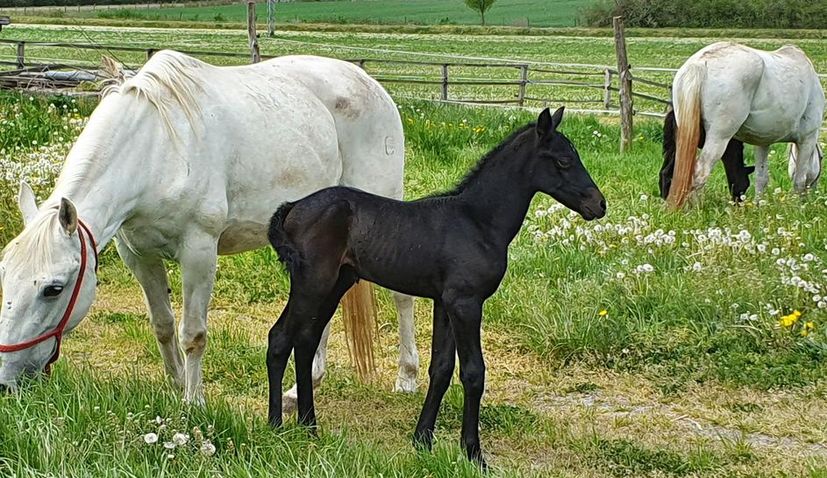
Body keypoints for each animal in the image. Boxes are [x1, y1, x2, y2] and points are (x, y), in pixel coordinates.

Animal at [0, 50, 418, 406]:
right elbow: (164, 325)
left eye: (54, 289)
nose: (5, 383)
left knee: (401, 297)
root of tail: (369, 83)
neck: (156, 149)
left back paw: (407, 377)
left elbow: (194, 334)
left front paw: (194, 402)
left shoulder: (199, 252)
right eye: (5, 276)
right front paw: (176, 387)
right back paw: (301, 390)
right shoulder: (138, 254)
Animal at [268, 107, 604, 466]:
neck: (478, 221)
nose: (599, 204)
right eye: (564, 160)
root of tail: (293, 207)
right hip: (312, 283)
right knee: (280, 338)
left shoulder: (445, 303)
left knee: (305, 341)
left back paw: (309, 427)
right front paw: (473, 452)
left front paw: (422, 440)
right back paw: (275, 426)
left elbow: (441, 369)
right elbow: (473, 373)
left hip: (334, 285)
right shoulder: (466, 303)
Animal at [668, 43, 824, 209]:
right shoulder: (807, 139)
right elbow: (799, 180)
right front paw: (799, 208)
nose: (813, 195)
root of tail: (700, 63)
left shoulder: (763, 142)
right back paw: (695, 209)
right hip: (718, 139)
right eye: (822, 158)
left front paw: (759, 206)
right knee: (700, 173)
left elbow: (761, 178)